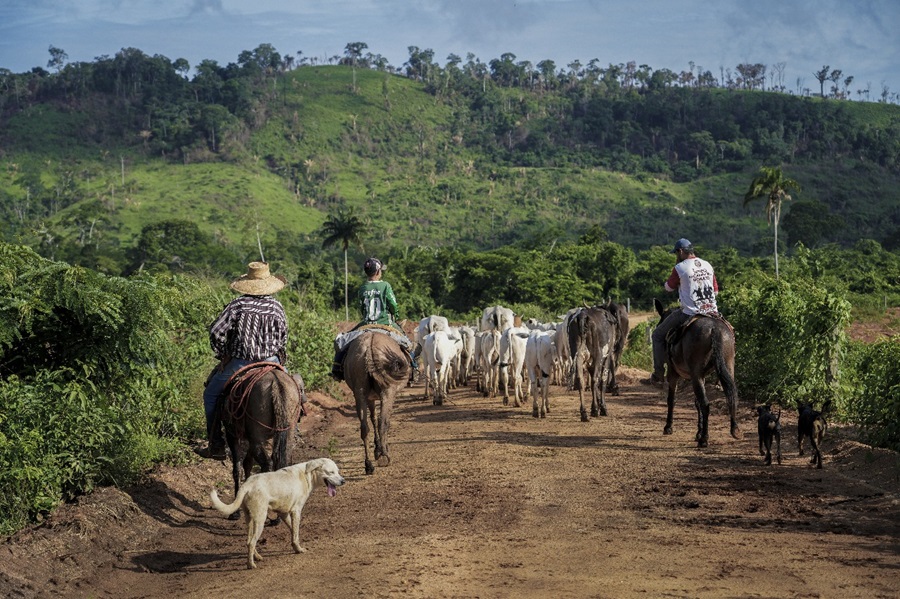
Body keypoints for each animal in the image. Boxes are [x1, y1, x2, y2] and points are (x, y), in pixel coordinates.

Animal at [209, 458, 346, 568]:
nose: (343, 481)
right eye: (331, 472)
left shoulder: (283, 513)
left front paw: (295, 547)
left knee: (248, 541)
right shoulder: (296, 511)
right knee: (252, 542)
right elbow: (296, 532)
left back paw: (257, 557)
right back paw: (250, 564)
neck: (307, 475)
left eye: (338, 471)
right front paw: (299, 549)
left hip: (250, 520)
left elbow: (293, 531)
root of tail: (247, 484)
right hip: (260, 520)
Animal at [219, 366, 304, 496]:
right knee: (282, 461)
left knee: (267, 464)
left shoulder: (232, 435)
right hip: (287, 433)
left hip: (256, 439)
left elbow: (238, 469)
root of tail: (276, 383)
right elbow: (247, 464)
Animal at [344, 330, 412, 476]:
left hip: (360, 392)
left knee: (364, 427)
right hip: (388, 391)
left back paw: (368, 465)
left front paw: (377, 449)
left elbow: (372, 418)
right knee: (383, 422)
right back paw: (384, 456)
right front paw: (380, 449)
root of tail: (369, 347)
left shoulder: (370, 397)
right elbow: (380, 420)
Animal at [652, 298, 740, 448]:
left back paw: (704, 439)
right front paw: (698, 431)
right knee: (731, 395)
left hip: (695, 375)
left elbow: (672, 400)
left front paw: (668, 427)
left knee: (706, 404)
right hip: (726, 366)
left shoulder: (673, 373)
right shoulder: (701, 377)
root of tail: (714, 329)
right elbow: (696, 403)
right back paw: (734, 430)